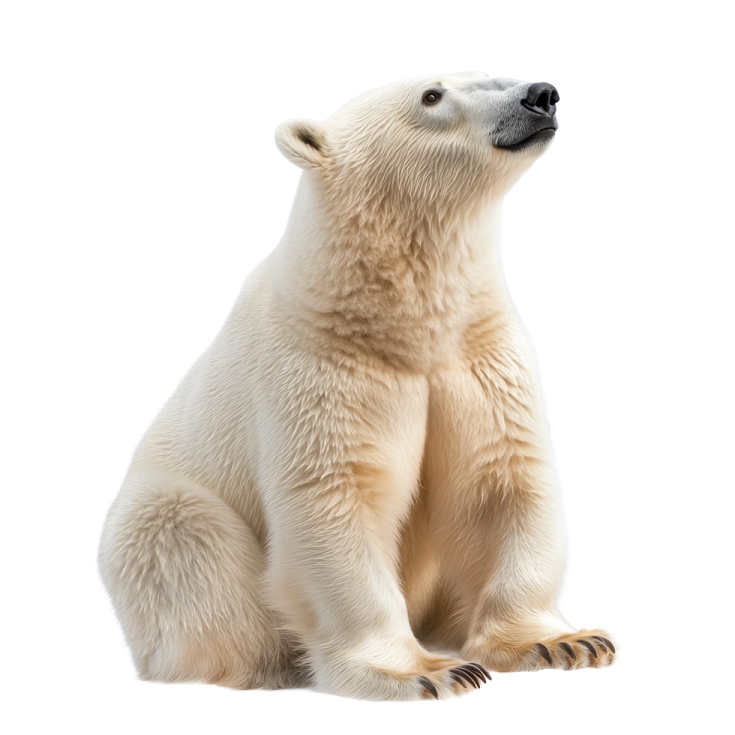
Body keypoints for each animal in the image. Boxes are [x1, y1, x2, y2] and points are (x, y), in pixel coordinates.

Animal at [94, 71, 621, 702]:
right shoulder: (320, 369)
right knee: (183, 539)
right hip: (161, 518)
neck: (399, 319)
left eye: (485, 74)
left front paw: (562, 642)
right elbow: (337, 498)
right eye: (432, 95)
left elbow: (500, 481)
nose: (541, 96)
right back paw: (268, 664)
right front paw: (425, 672)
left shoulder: (479, 355)